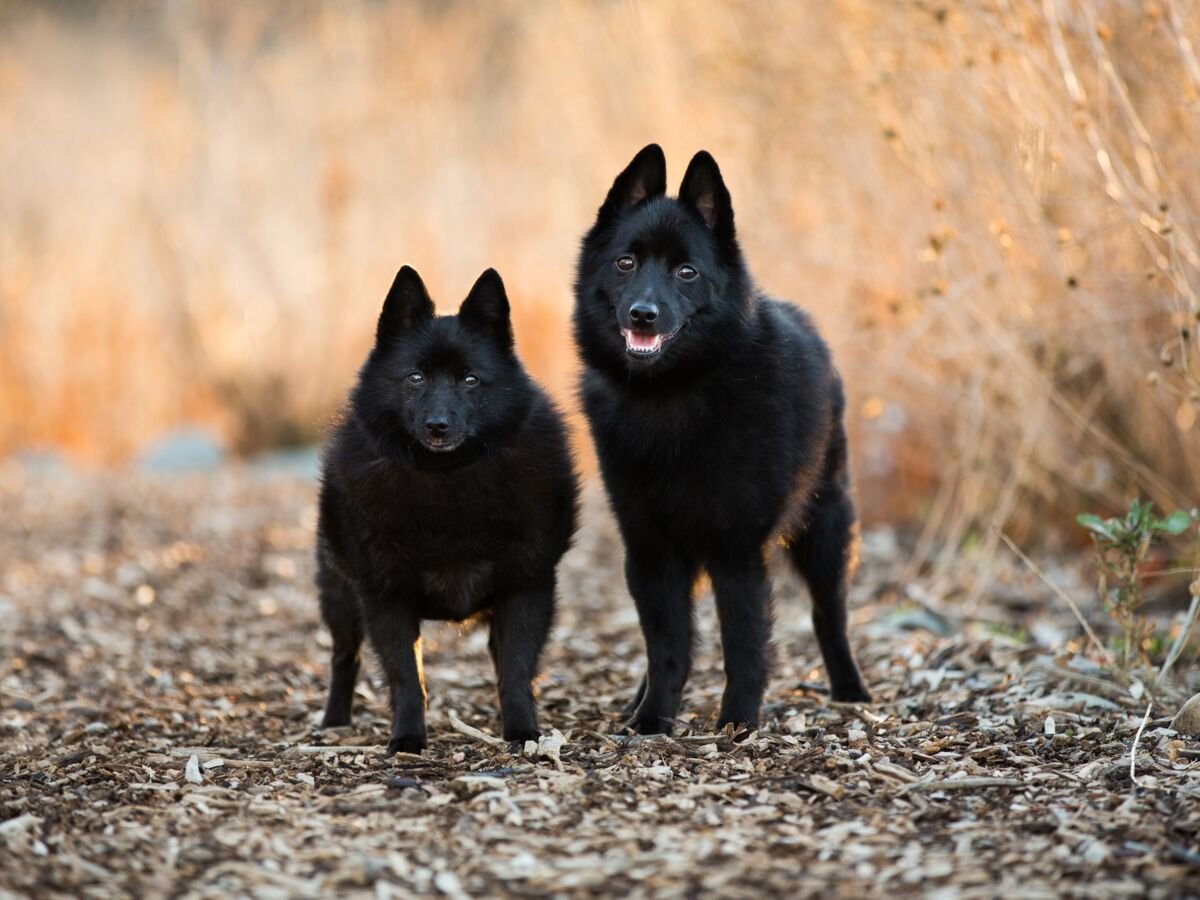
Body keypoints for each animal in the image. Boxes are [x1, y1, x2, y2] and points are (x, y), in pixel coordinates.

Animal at [316, 267, 578, 753]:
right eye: (416, 377)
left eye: (470, 380)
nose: (438, 426)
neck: (447, 479)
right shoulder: (386, 597)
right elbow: (406, 677)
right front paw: (407, 740)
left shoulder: (527, 588)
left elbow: (516, 671)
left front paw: (523, 734)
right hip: (340, 597)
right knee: (344, 658)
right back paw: (333, 723)